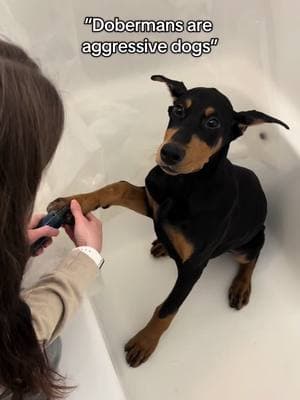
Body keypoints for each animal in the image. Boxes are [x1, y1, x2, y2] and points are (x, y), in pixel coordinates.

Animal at [48, 76, 290, 368]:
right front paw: (74, 202)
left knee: (252, 257)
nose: (169, 153)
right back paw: (163, 245)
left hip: (248, 241)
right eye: (177, 110)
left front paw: (144, 342)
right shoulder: (153, 202)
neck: (185, 184)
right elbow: (119, 186)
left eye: (213, 122)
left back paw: (241, 286)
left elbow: (167, 309)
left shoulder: (194, 268)